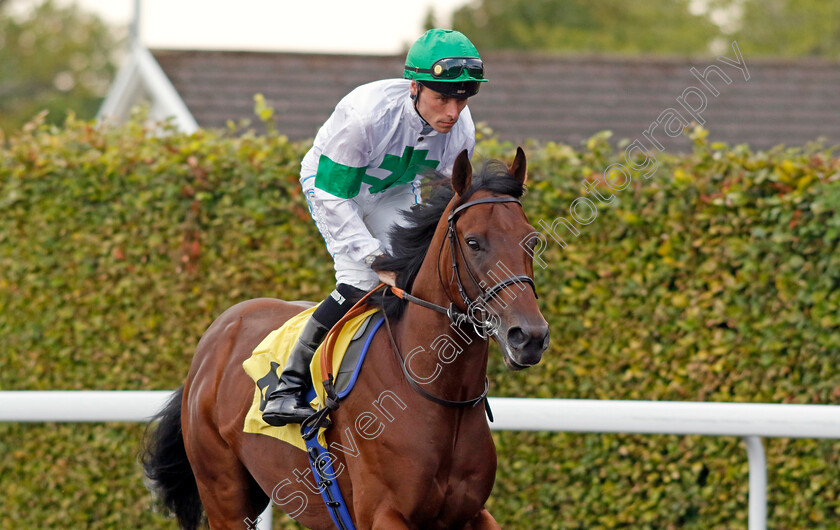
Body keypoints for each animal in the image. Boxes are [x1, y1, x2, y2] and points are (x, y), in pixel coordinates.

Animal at [144, 148, 552, 528]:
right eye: (473, 242)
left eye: (531, 241)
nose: (528, 336)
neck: (437, 394)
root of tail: (216, 334)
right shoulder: (383, 514)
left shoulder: (470, 514)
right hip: (224, 494)